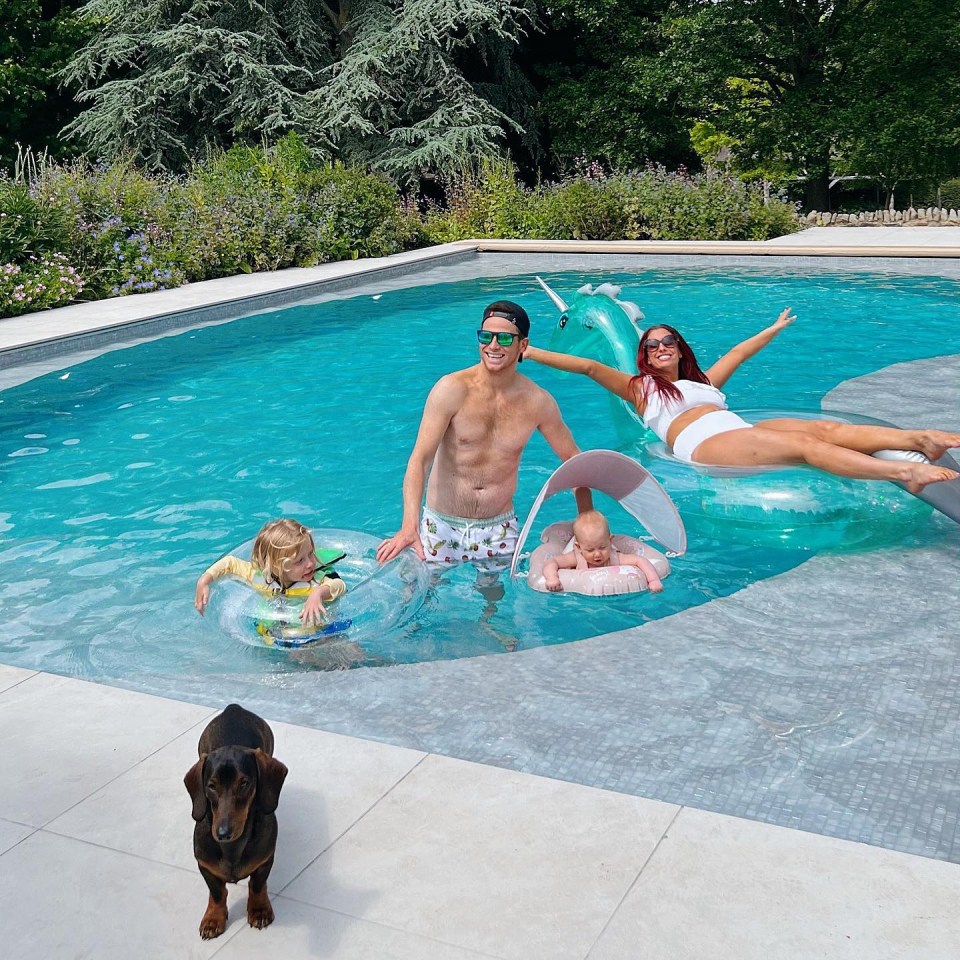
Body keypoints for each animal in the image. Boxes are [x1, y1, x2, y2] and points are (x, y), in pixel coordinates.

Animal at [184, 704, 286, 936]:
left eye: (244, 783)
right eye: (211, 786)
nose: (223, 833)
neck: (232, 847)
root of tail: (234, 708)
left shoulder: (265, 861)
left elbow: (257, 885)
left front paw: (259, 910)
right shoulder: (205, 867)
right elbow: (217, 894)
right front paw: (213, 919)